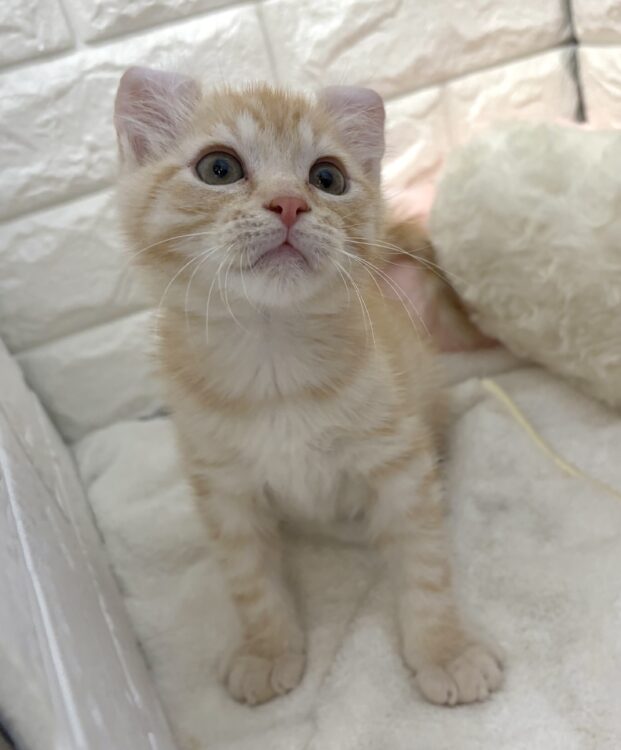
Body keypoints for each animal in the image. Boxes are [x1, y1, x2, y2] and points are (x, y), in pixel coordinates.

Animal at [114, 67, 503, 707]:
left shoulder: (399, 463)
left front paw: (445, 650)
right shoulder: (222, 485)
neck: (275, 368)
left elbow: (424, 562)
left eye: (328, 178)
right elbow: (249, 580)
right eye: (218, 168)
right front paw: (268, 650)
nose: (290, 203)